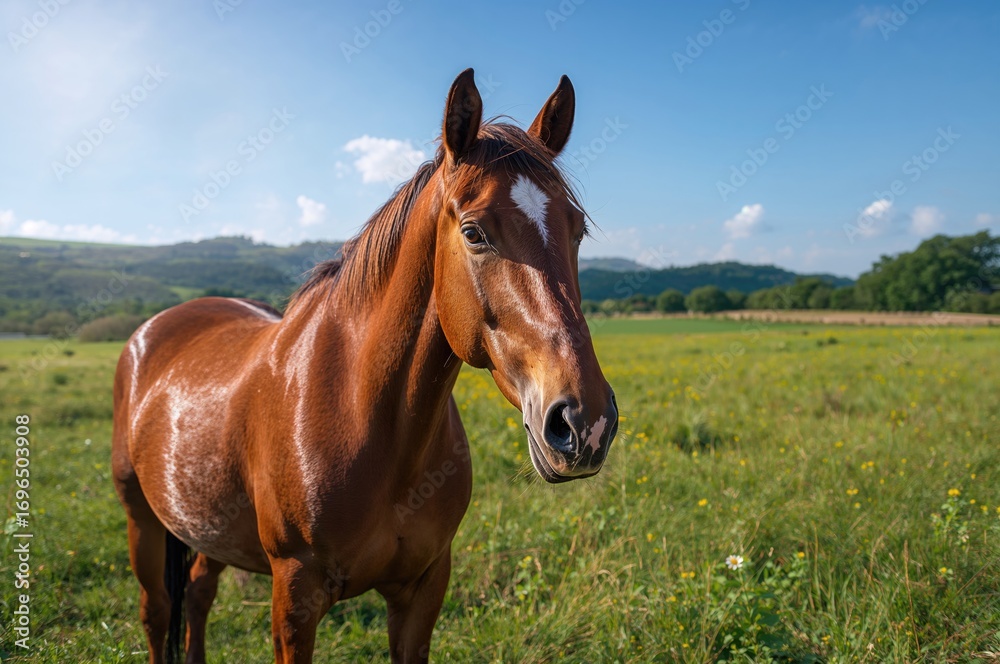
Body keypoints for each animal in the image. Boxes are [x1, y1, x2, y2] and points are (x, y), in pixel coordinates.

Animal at [112, 68, 619, 664]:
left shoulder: (423, 588)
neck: (366, 417)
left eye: (576, 229)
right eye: (474, 232)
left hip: (205, 527)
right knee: (158, 610)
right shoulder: (294, 597)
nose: (585, 421)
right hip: (142, 519)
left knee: (196, 594)